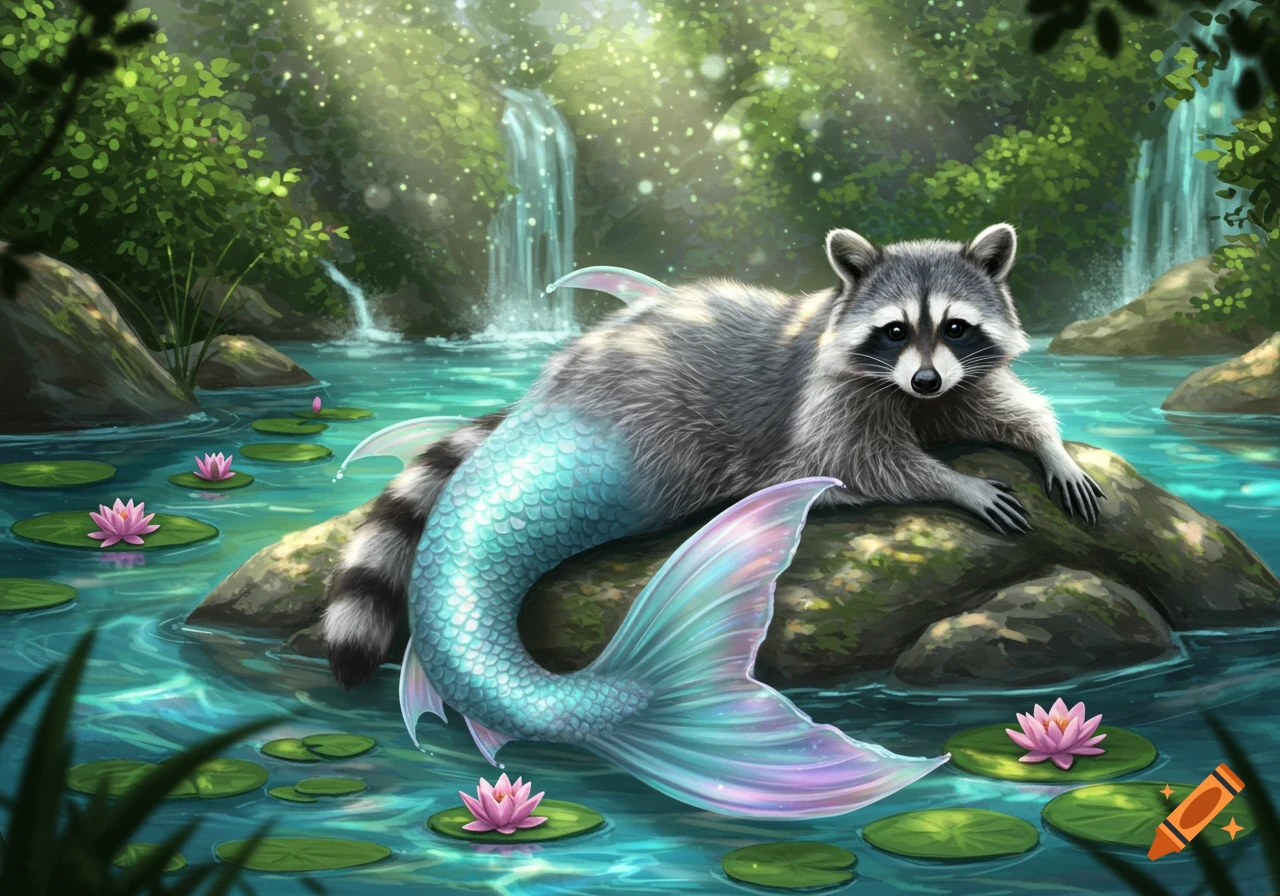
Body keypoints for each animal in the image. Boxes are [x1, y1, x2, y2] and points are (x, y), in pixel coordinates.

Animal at [324, 222, 1104, 689]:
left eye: (954, 326)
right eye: (893, 331)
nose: (924, 380)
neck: (902, 389)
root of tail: (554, 378)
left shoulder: (957, 381)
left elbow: (1000, 406)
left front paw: (1049, 445)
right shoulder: (825, 400)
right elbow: (858, 461)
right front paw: (952, 481)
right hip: (649, 418)